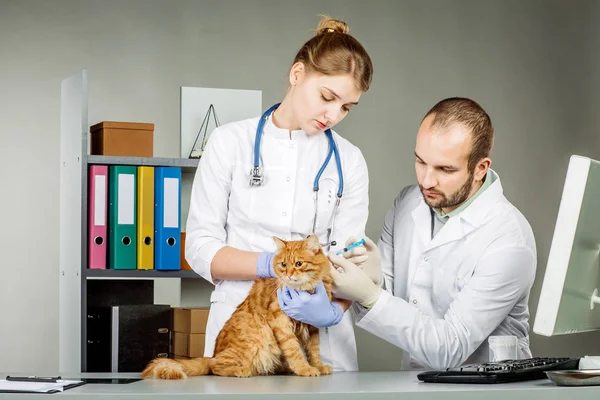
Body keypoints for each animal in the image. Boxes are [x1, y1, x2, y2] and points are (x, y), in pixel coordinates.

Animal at [142, 234, 338, 378]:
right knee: (214, 366)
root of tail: (212, 354)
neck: (307, 289)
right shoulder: (280, 322)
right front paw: (304, 368)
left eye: (299, 264)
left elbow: (314, 350)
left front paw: (318, 366)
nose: (288, 275)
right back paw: (244, 370)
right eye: (283, 265)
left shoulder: (313, 324)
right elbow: (294, 350)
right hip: (256, 341)